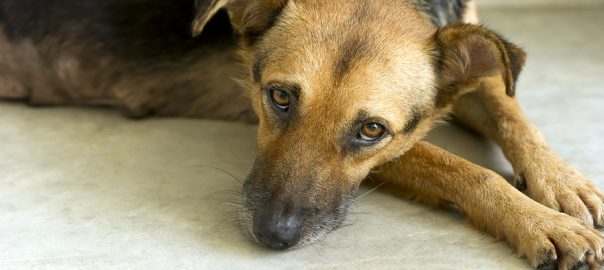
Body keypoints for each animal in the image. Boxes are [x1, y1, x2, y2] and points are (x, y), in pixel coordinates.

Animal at [1, 1, 604, 268]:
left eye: (370, 129)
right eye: (280, 97)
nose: (273, 237)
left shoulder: (466, 75)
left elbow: (513, 112)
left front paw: (563, 185)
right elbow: (463, 167)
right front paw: (541, 223)